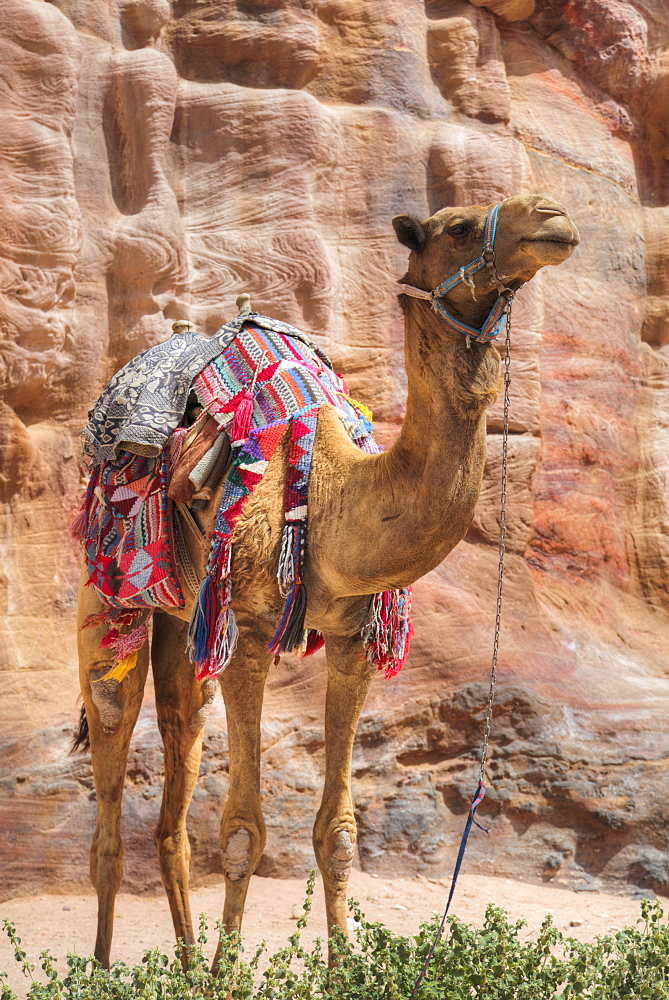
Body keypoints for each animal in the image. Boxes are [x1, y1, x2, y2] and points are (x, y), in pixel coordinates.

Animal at [75, 191, 576, 964]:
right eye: (458, 225)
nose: (553, 217)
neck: (335, 491)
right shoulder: (248, 637)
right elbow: (243, 830)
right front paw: (228, 975)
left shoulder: (352, 641)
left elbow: (337, 832)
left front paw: (344, 968)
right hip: (108, 590)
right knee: (108, 765)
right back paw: (103, 971)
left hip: (186, 629)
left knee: (175, 782)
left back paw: (182, 968)